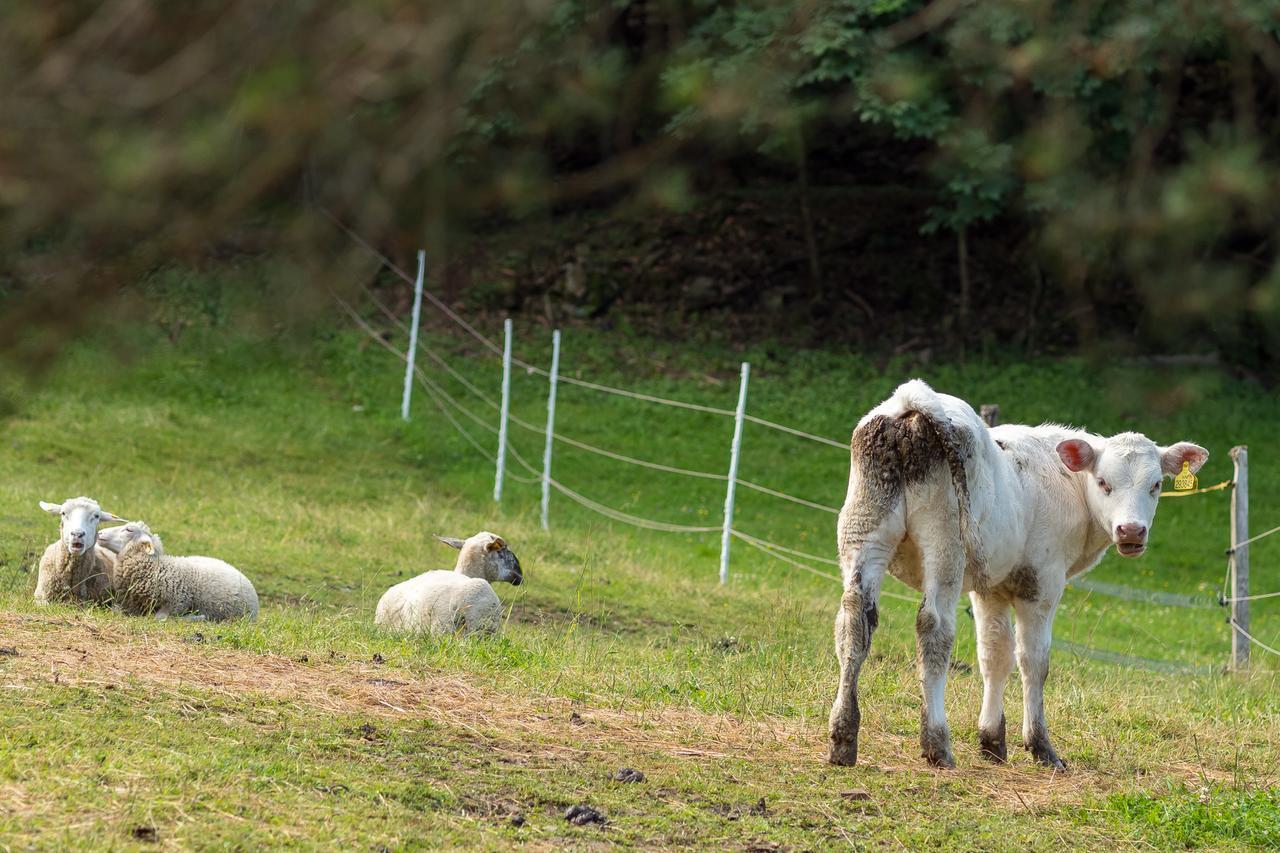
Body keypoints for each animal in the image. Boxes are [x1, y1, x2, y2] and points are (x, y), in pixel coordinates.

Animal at [94, 517, 259, 617]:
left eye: (129, 530)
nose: (99, 532)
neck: (156, 569)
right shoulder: (130, 605)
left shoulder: (177, 603)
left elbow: (160, 619)